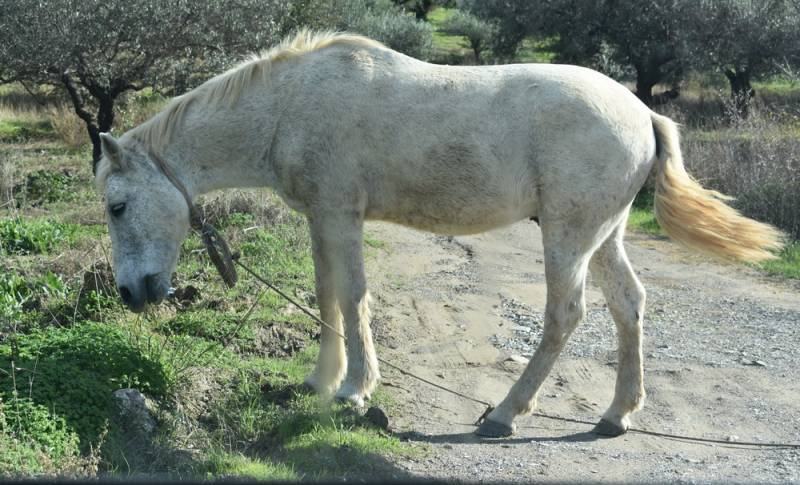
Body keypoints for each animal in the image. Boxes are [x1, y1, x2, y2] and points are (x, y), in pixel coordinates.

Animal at [97, 31, 784, 438]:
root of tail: (643, 112)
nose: (132, 293)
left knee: (566, 314)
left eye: (117, 206)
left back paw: (504, 414)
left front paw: (355, 391)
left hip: (569, 235)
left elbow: (353, 298)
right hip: (605, 234)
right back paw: (616, 414)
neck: (290, 105)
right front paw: (321, 382)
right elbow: (327, 298)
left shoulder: (341, 216)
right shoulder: (321, 218)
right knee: (628, 306)